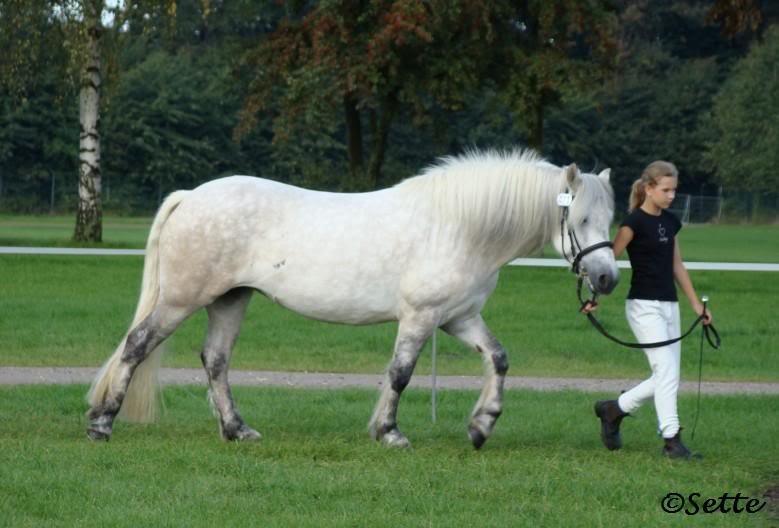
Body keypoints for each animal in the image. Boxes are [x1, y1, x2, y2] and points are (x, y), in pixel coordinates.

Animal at [86, 149, 618, 449]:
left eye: (609, 217)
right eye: (580, 219)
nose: (607, 277)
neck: (458, 226)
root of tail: (191, 196)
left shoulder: (459, 319)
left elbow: (499, 360)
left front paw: (481, 426)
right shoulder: (421, 317)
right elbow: (400, 374)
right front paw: (390, 433)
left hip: (231, 299)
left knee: (215, 360)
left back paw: (238, 431)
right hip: (182, 299)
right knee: (137, 345)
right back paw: (101, 424)